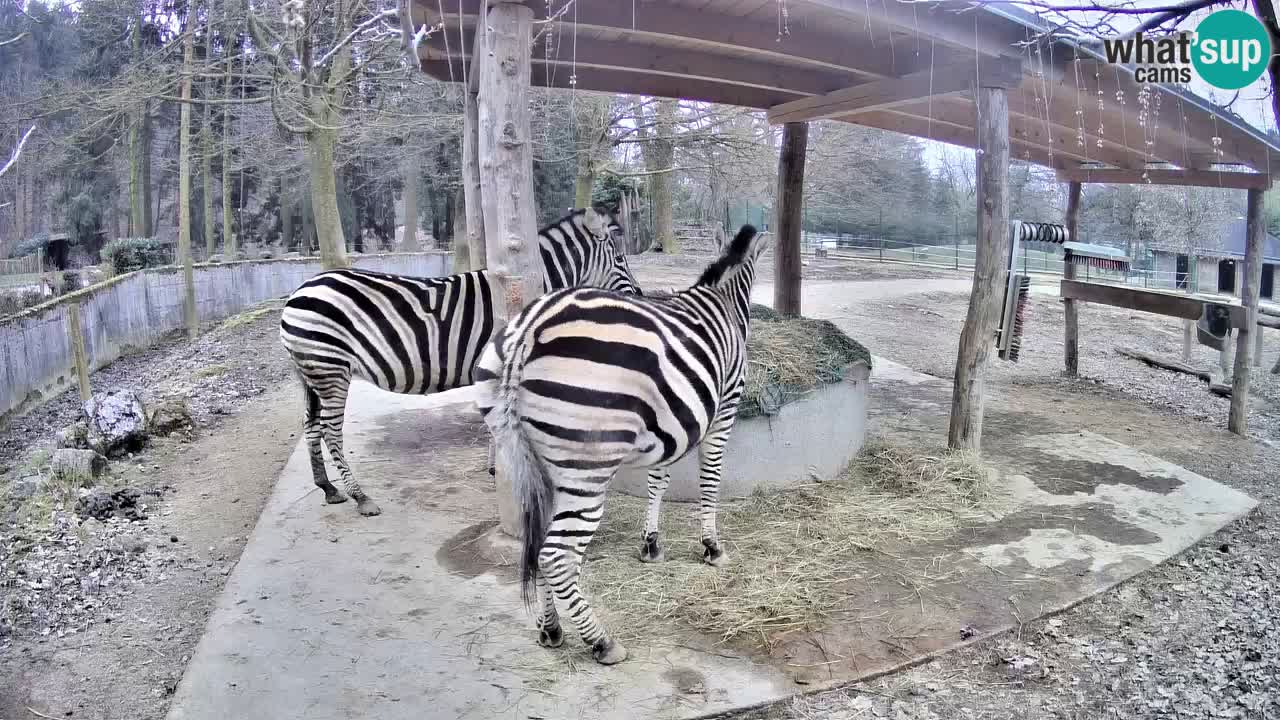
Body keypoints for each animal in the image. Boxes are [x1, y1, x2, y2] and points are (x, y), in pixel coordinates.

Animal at [280, 206, 640, 515]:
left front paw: (496, 467)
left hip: (311, 371)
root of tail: (299, 291)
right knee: (329, 430)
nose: (638, 295)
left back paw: (328, 488)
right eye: (620, 258)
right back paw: (360, 496)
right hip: (330, 368)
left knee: (311, 425)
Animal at [476, 222, 762, 661]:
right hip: (587, 466)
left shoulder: (671, 420)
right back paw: (601, 641)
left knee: (539, 544)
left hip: (534, 459)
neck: (723, 301)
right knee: (556, 555)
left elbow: (658, 480)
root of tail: (527, 331)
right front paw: (711, 547)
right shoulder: (723, 410)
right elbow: (710, 480)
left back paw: (551, 629)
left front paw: (651, 544)